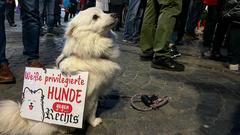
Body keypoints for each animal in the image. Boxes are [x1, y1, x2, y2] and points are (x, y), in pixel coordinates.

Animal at [0, 7, 120, 135]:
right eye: (95, 17)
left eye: (104, 11)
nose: (115, 14)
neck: (89, 53)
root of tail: (29, 121)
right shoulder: (93, 95)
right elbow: (92, 111)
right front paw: (95, 122)